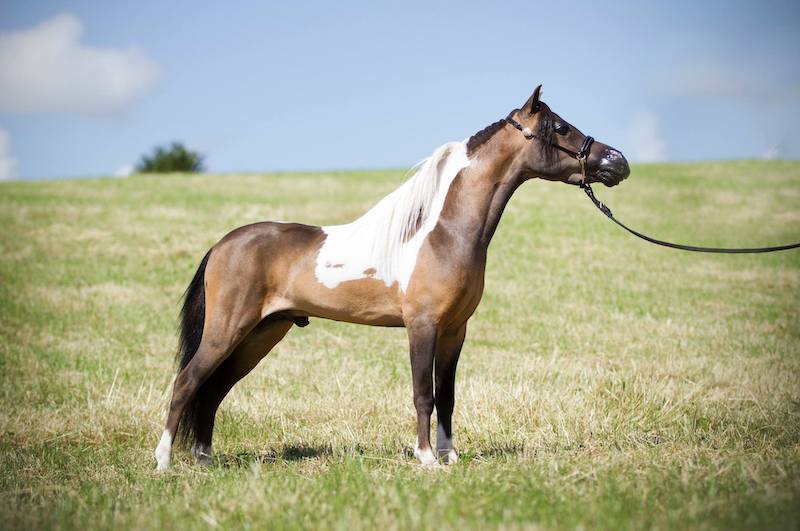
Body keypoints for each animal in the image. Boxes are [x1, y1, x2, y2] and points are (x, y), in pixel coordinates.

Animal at [154, 85, 630, 470]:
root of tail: (222, 245)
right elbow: (423, 393)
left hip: (261, 334)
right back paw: (163, 462)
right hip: (227, 330)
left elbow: (447, 395)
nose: (618, 162)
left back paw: (205, 460)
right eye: (561, 128)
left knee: (213, 391)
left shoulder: (455, 331)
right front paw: (426, 458)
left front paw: (450, 456)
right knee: (187, 383)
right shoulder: (422, 326)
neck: (444, 234)